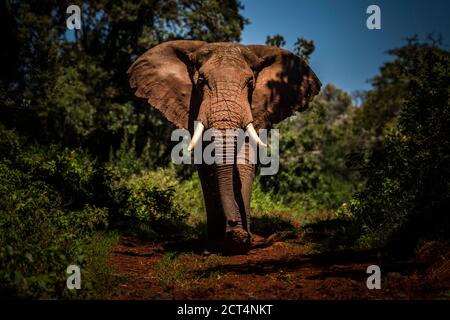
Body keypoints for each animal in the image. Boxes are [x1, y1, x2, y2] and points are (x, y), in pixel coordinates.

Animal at [128, 40, 322, 255]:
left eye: (251, 83)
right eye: (201, 81)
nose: (235, 224)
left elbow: (245, 160)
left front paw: (239, 241)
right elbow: (206, 162)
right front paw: (221, 241)